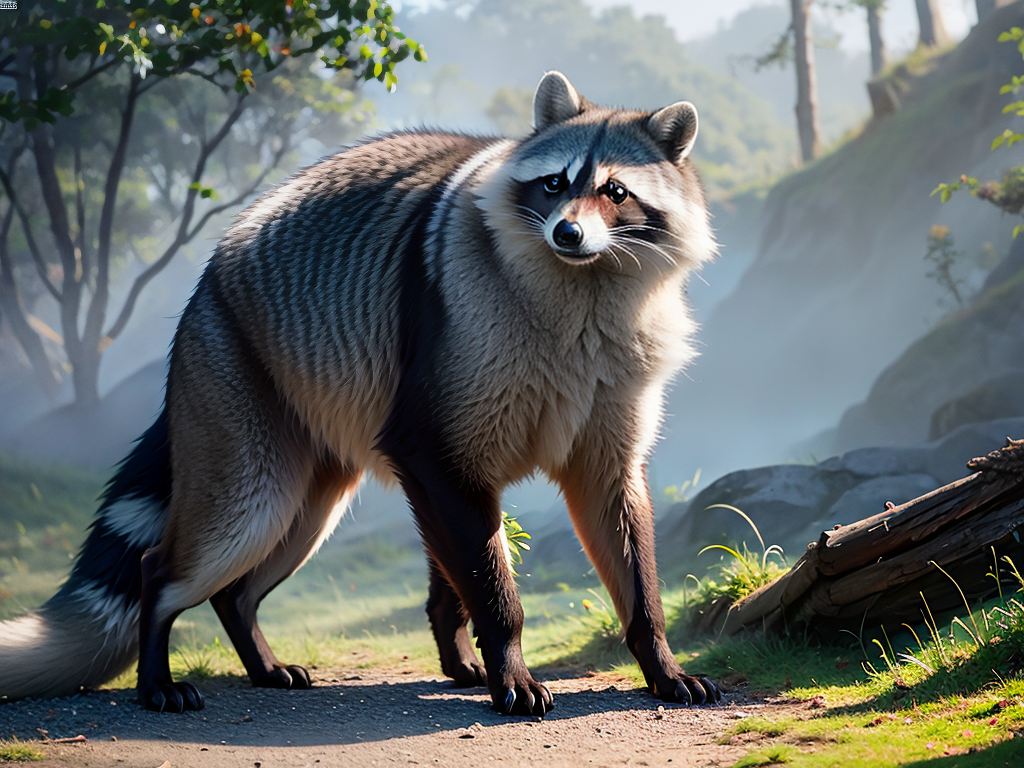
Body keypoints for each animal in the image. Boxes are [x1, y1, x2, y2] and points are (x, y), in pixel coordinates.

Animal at [0, 72, 719, 716]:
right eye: (554, 184)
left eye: (616, 191)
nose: (566, 233)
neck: (589, 281)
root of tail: (206, 285)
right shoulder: (445, 375)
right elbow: (478, 559)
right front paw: (506, 654)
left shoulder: (612, 393)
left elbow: (614, 527)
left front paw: (656, 655)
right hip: (236, 392)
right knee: (209, 537)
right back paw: (157, 654)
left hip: (313, 456)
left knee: (257, 563)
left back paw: (252, 641)